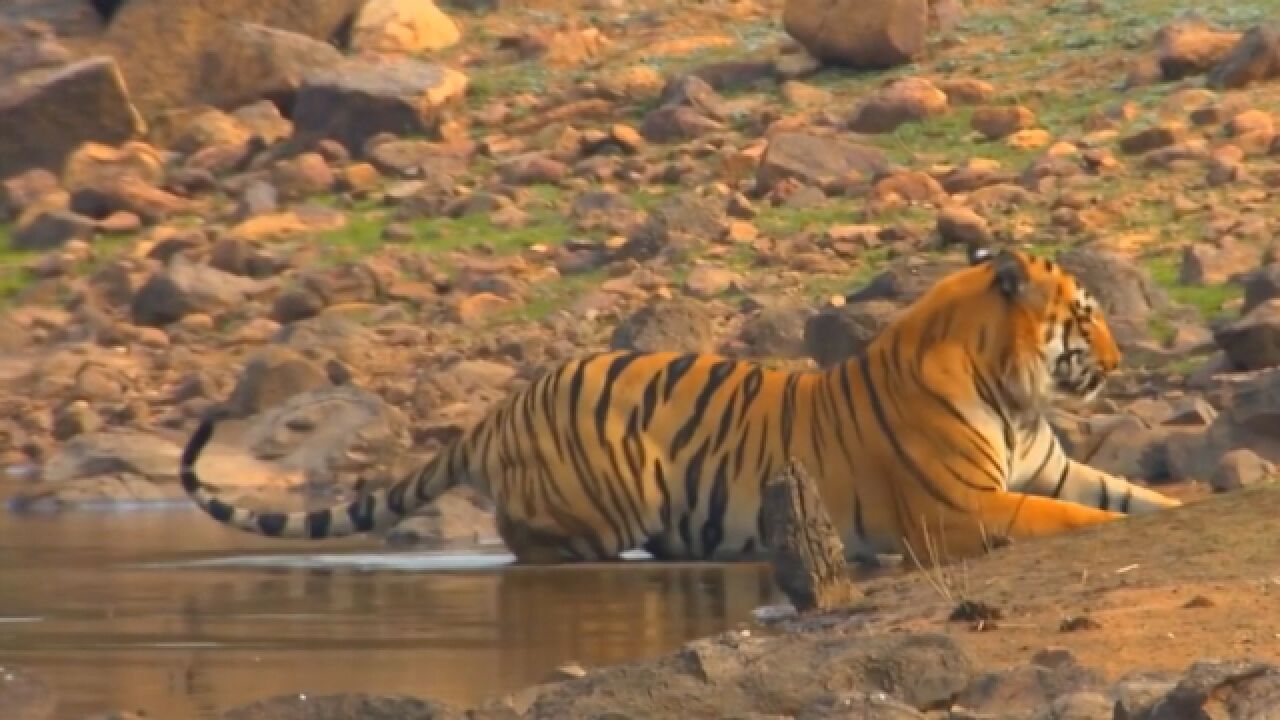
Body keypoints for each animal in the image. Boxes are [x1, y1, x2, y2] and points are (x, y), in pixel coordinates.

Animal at [177, 245, 1177, 566]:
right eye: (1087, 315)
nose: (1119, 360)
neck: (1013, 396)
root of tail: (503, 406)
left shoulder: (1052, 462)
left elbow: (1135, 494)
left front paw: (1185, 502)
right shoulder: (959, 508)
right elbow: (1056, 515)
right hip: (608, 494)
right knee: (532, 545)